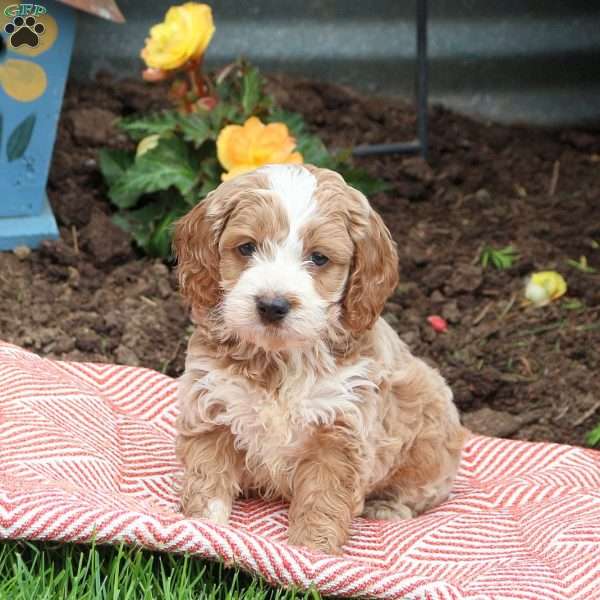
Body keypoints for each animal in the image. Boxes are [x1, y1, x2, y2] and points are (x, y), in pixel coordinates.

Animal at [171, 163, 466, 552]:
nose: (272, 305)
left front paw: (311, 552)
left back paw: (386, 506)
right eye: (246, 247)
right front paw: (204, 530)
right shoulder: (212, 408)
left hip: (430, 433)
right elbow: (209, 481)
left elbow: (321, 501)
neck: (278, 361)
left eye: (320, 257)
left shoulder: (339, 434)